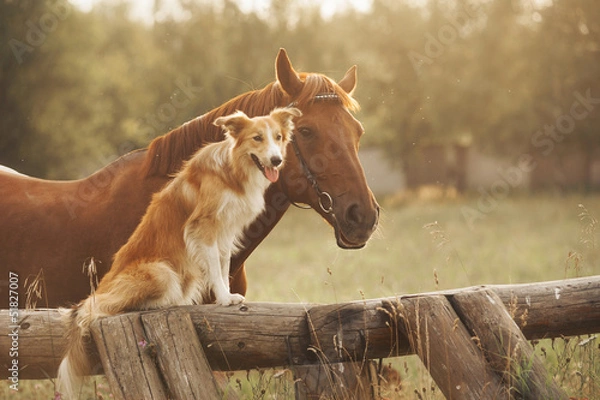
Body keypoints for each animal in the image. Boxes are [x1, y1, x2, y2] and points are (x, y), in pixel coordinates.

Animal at [56, 106, 302, 396]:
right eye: (257, 138)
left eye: (278, 137)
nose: (276, 160)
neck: (233, 170)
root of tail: (102, 287)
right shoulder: (203, 228)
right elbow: (215, 269)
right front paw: (224, 298)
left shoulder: (225, 232)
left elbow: (223, 265)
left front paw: (227, 295)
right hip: (161, 272)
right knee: (99, 307)